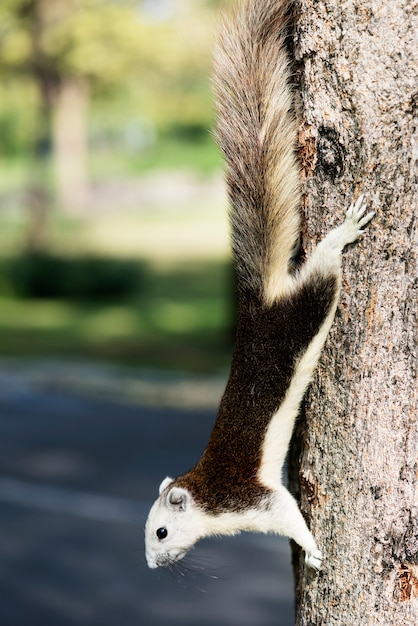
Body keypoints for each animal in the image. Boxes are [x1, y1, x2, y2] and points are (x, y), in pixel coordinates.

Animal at [145, 0, 374, 568]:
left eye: (161, 531)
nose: (152, 565)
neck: (205, 494)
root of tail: (259, 303)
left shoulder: (249, 500)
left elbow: (288, 514)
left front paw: (313, 553)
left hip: (305, 307)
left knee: (322, 272)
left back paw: (341, 234)